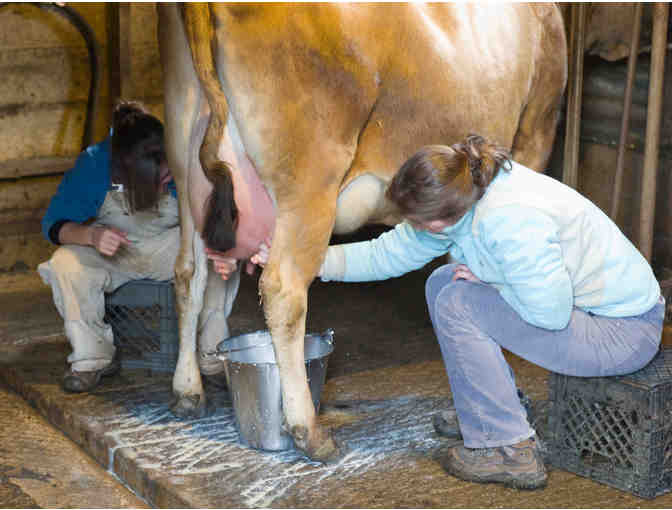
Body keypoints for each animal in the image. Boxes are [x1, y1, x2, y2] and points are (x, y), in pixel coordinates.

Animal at [157, 3, 567, 462]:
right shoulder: (534, 134)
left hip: (186, 162)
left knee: (190, 274)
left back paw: (188, 389)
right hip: (309, 180)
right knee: (283, 290)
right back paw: (308, 431)